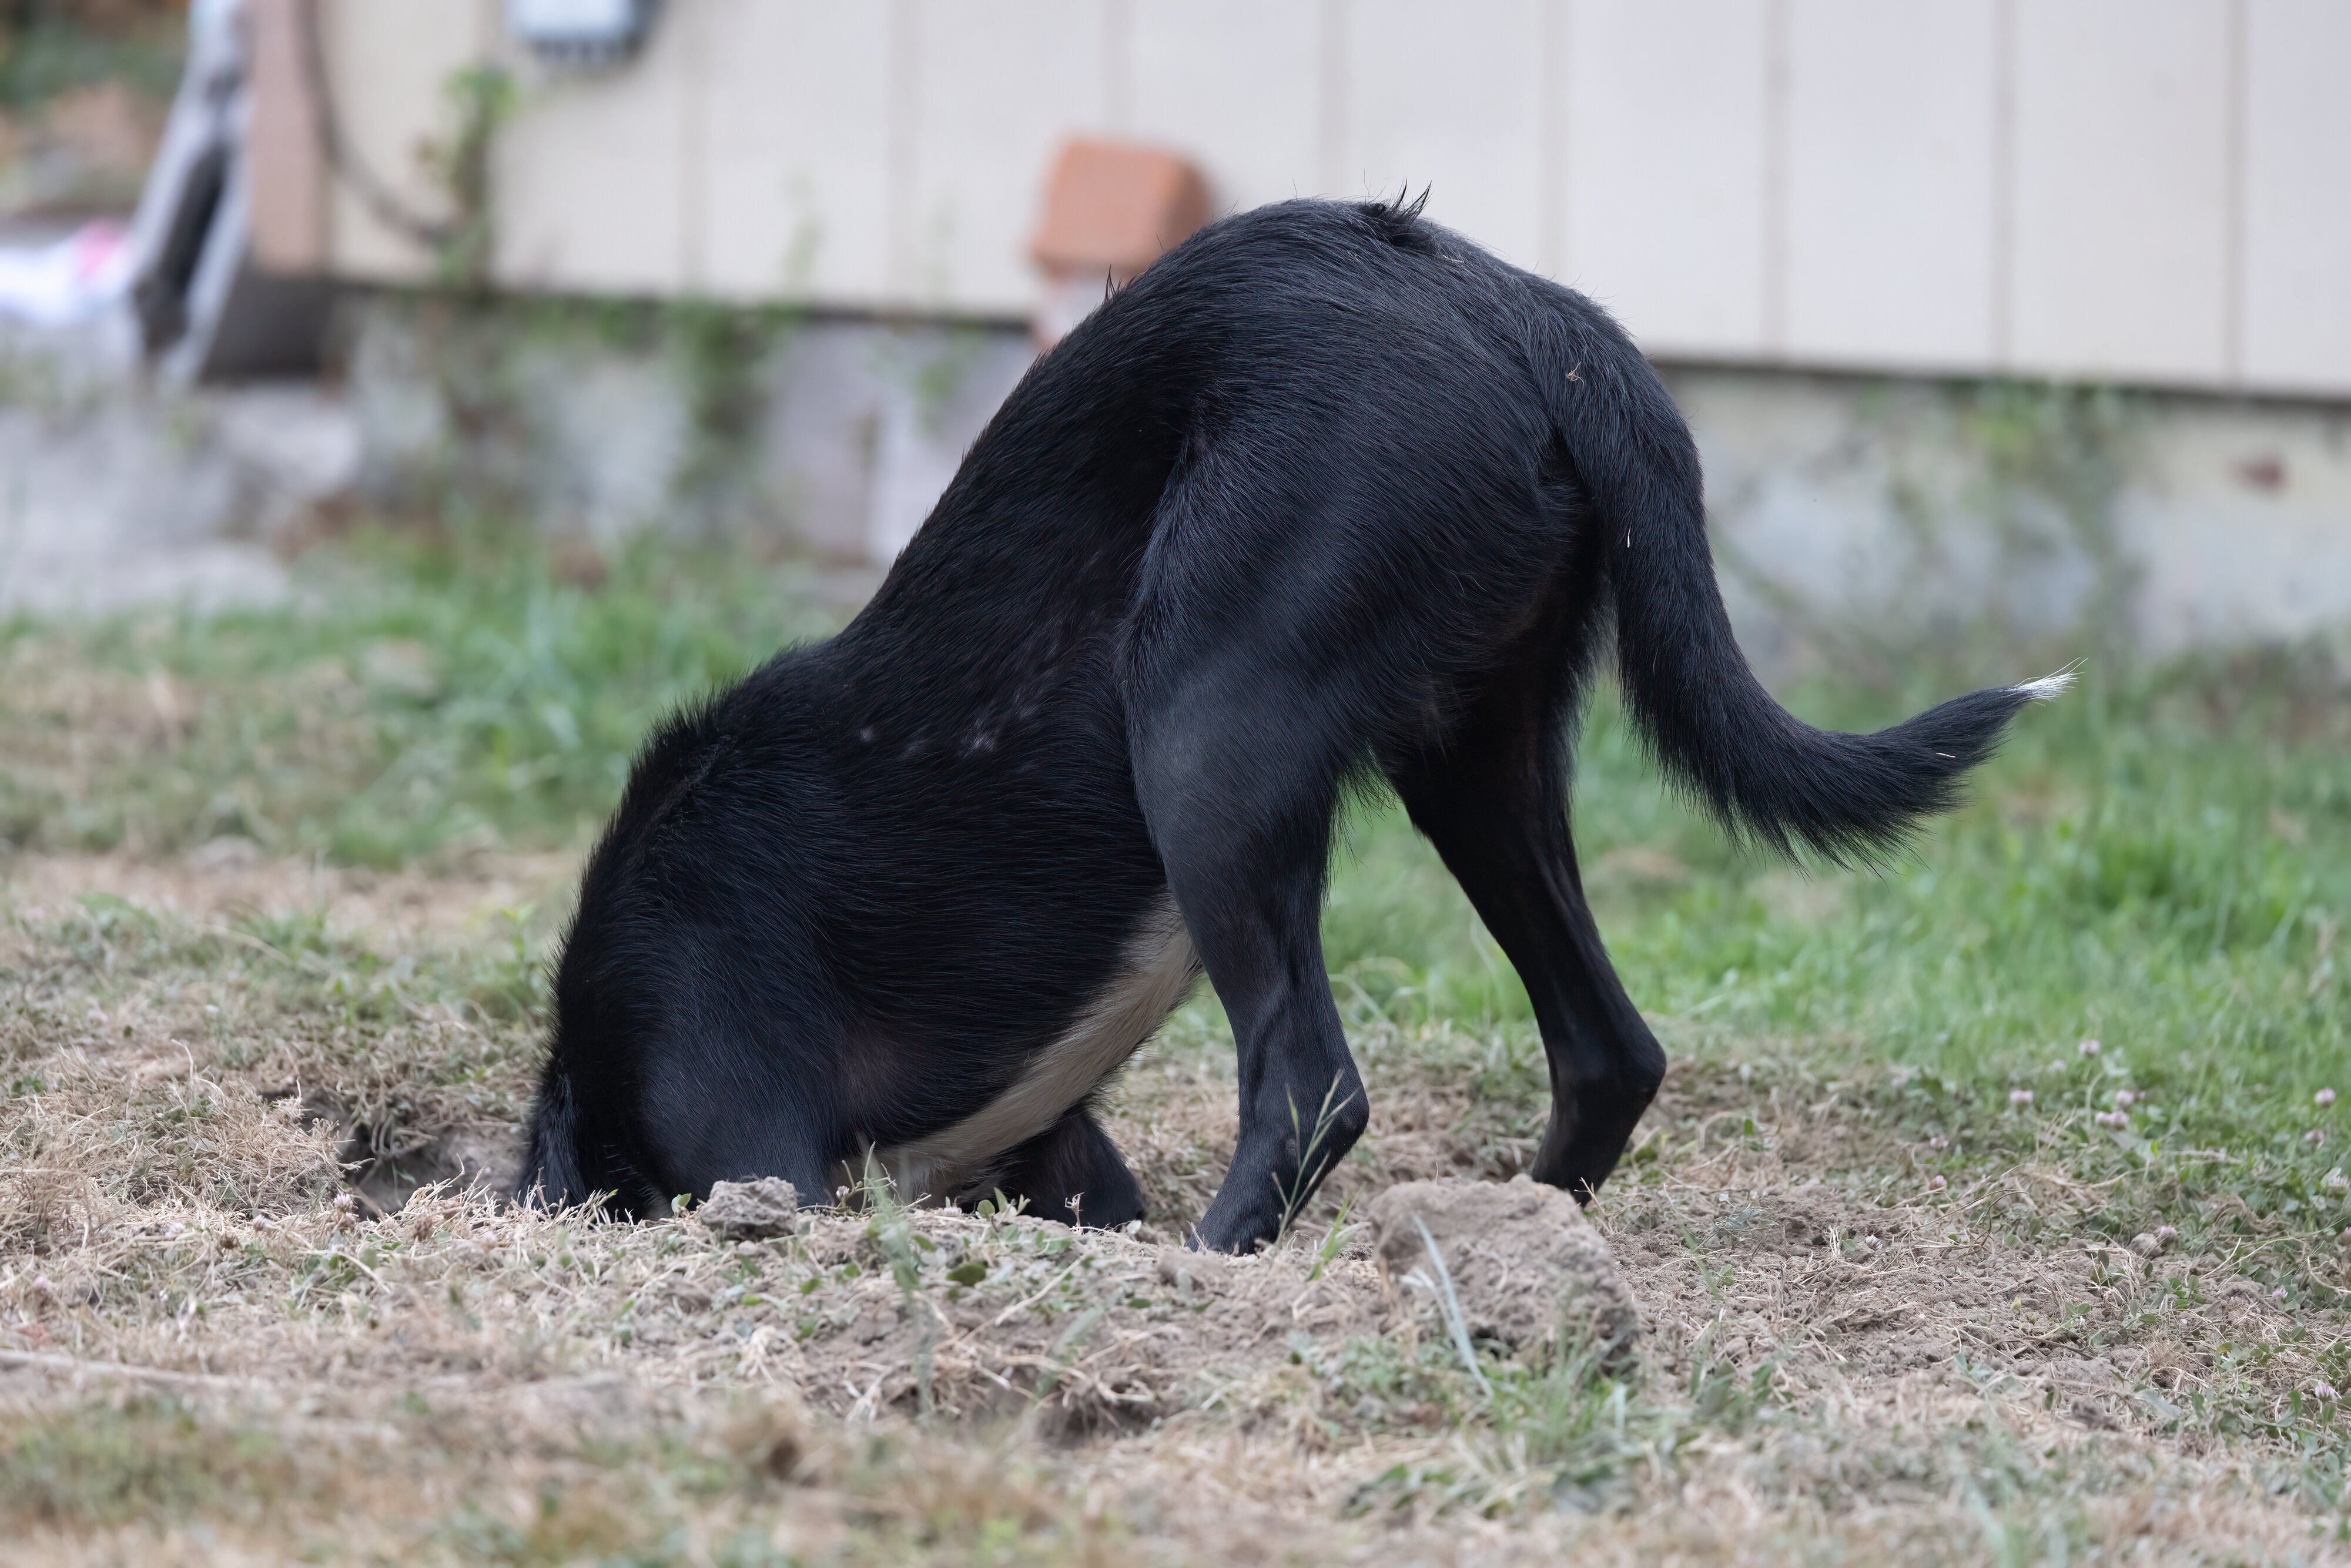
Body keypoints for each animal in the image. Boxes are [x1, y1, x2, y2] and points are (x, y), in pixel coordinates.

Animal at [520, 196, 2059, 1251]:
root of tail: (1525, 311)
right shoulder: (1059, 1149)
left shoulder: (748, 1133)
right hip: (1475, 761)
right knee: (1608, 1050)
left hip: (1206, 729)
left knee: (1312, 1082)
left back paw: (1213, 1272)